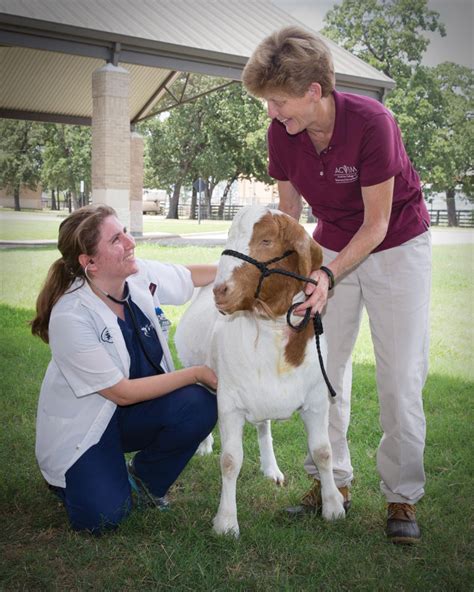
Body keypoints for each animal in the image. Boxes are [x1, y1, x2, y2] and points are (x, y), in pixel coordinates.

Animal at [175, 205, 344, 536]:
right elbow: (230, 460)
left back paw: (271, 469)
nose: (220, 290)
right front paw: (226, 521)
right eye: (228, 235)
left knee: (264, 426)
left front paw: (333, 506)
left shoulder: (317, 399)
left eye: (266, 241)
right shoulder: (229, 402)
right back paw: (204, 445)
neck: (270, 329)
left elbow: (323, 451)